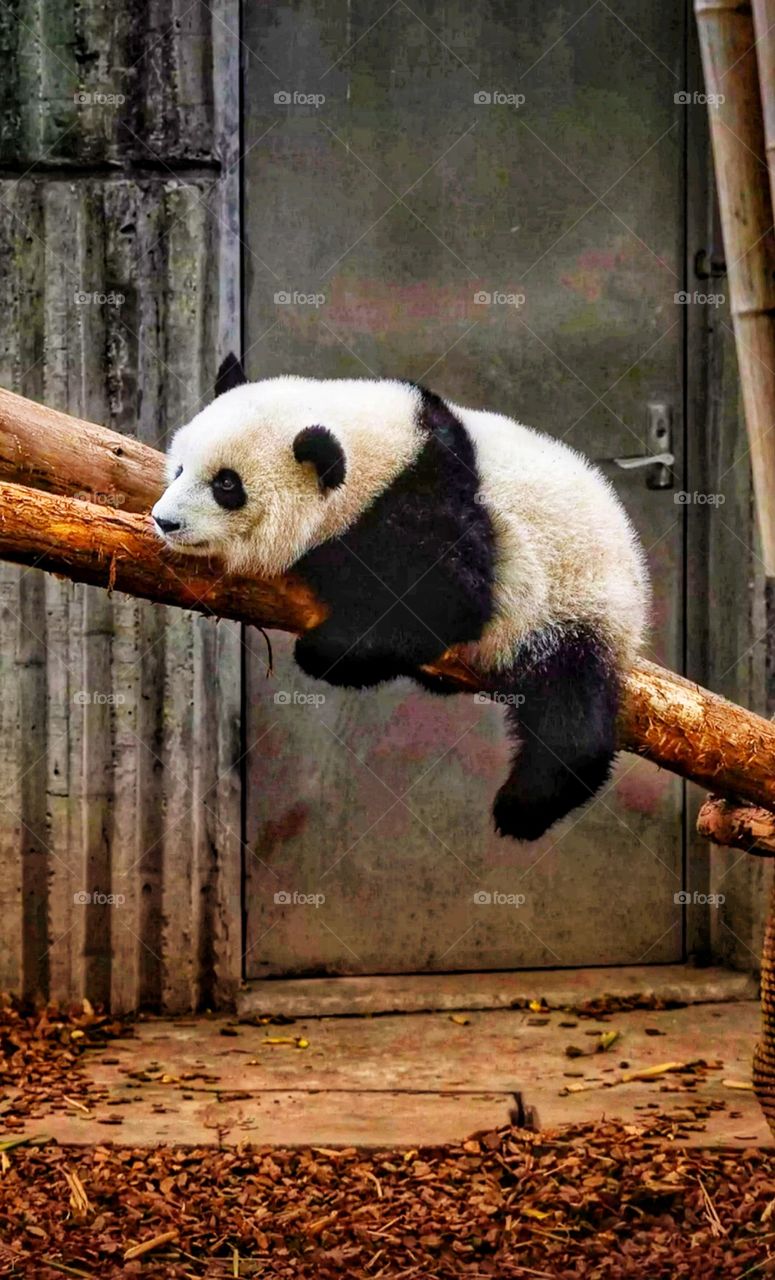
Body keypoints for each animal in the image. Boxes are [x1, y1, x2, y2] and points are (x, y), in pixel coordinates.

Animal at [151, 354, 649, 842]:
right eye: (180, 468)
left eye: (227, 485)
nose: (164, 521)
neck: (383, 455)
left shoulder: (428, 501)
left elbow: (450, 599)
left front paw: (326, 648)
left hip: (574, 602)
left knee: (569, 709)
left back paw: (524, 805)